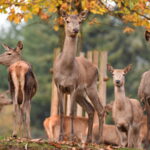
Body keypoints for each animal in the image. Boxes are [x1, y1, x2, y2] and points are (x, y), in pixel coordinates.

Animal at [53, 11, 104, 142]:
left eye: (80, 21)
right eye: (67, 21)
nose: (75, 29)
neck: (66, 70)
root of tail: (96, 68)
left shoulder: (74, 87)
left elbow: (72, 112)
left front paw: (71, 137)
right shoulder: (58, 86)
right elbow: (61, 111)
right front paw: (60, 137)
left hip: (91, 87)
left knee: (100, 109)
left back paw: (100, 140)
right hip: (81, 94)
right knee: (90, 109)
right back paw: (88, 139)